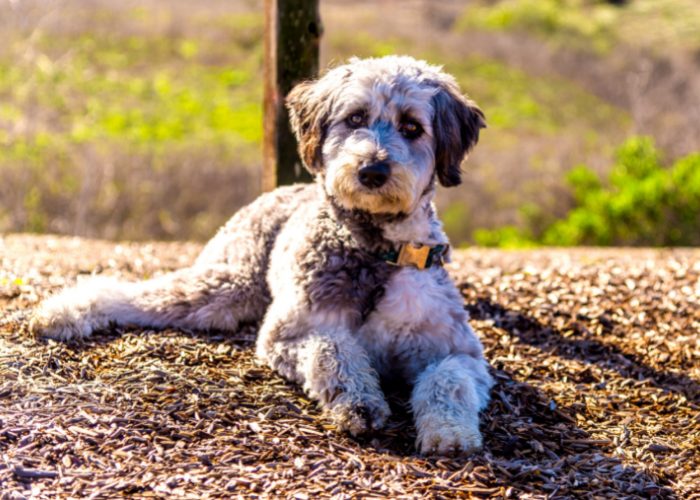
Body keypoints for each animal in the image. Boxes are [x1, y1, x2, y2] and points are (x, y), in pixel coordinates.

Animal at [31, 56, 492, 456]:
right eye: (356, 118)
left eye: (412, 126)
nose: (372, 171)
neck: (375, 248)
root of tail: (278, 190)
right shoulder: (287, 333)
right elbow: (332, 350)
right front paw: (359, 403)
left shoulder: (459, 350)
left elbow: (447, 379)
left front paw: (449, 432)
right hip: (225, 286)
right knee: (124, 291)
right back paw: (62, 312)